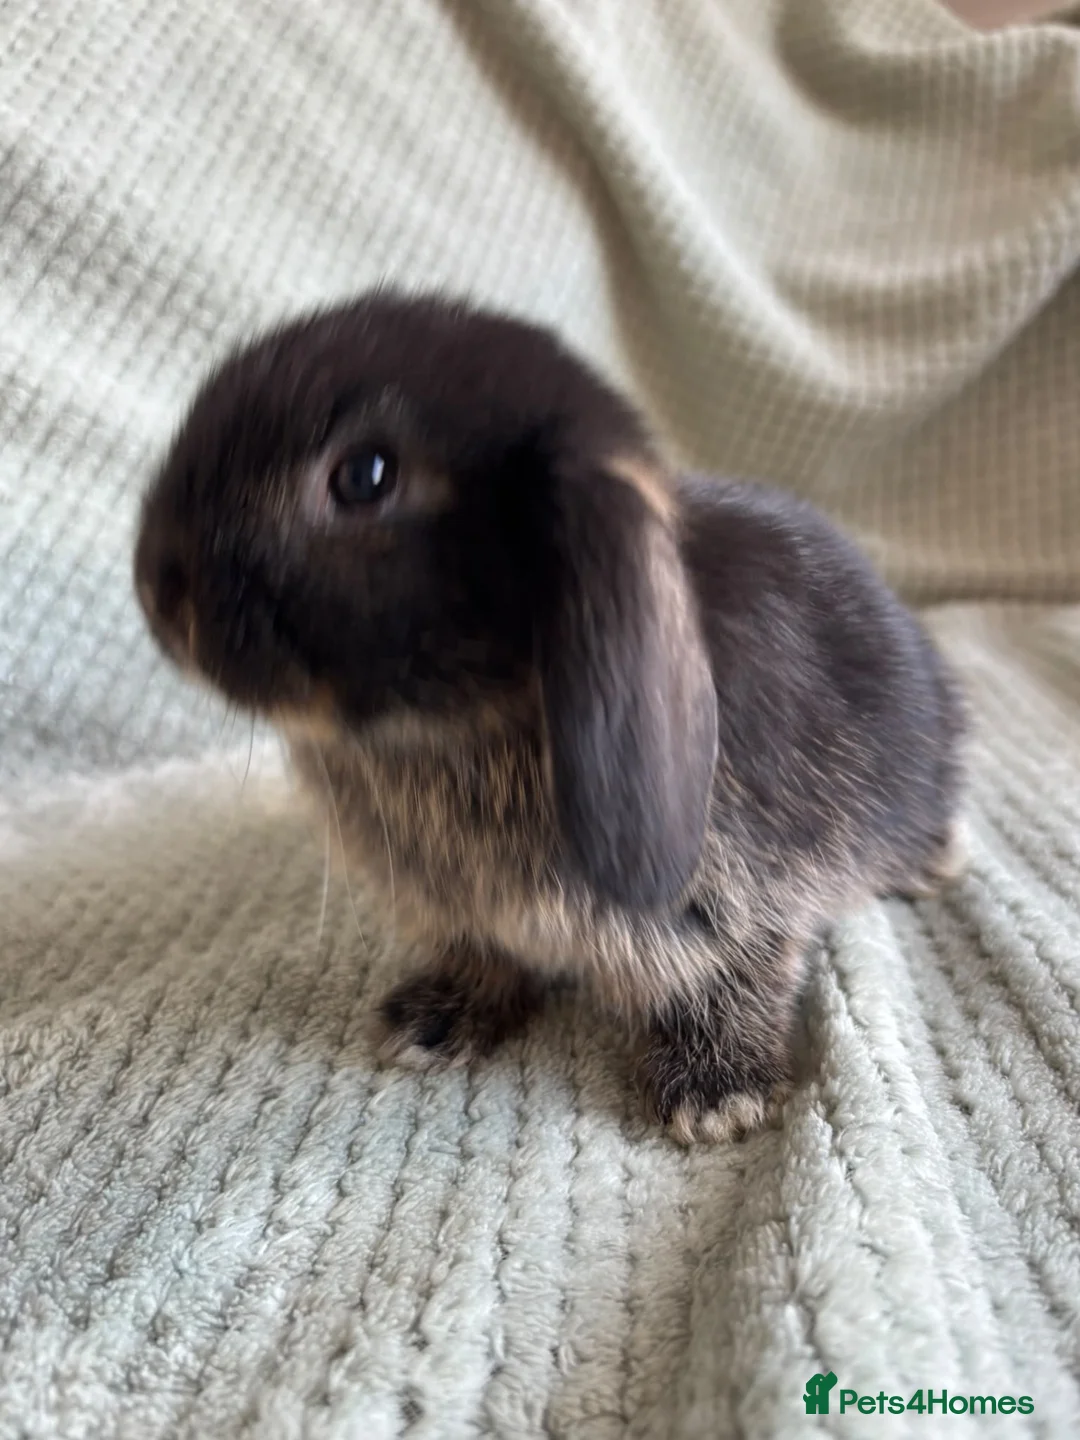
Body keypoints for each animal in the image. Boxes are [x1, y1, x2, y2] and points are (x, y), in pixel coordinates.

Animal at [134, 290, 967, 1143]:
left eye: (364, 476)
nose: (156, 587)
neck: (466, 723)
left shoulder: (739, 905)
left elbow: (738, 977)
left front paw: (715, 1096)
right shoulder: (463, 916)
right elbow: (483, 959)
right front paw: (432, 1021)